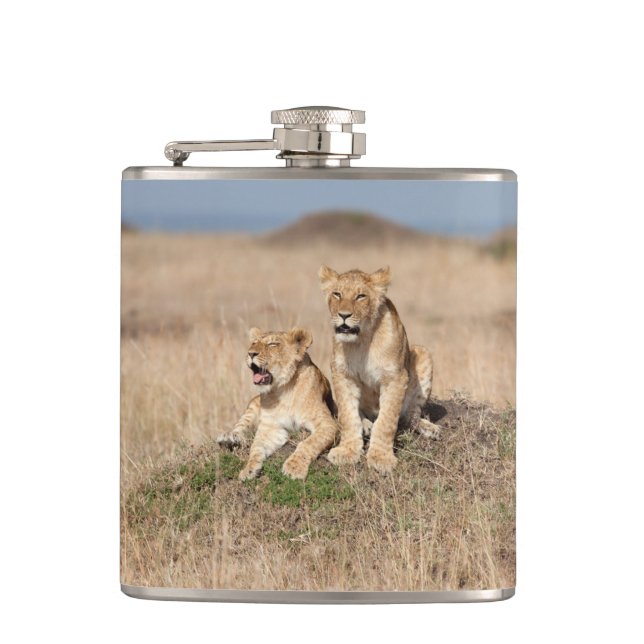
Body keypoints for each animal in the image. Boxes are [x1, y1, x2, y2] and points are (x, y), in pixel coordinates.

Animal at [217, 327, 338, 481]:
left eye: (272, 344)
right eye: (254, 343)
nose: (251, 353)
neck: (283, 389)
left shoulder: (327, 424)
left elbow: (308, 443)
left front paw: (294, 468)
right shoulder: (271, 428)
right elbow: (256, 447)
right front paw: (249, 469)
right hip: (253, 404)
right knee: (241, 427)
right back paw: (229, 439)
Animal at [318, 265, 439, 474]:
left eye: (361, 296)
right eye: (337, 294)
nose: (344, 315)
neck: (361, 340)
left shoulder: (395, 378)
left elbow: (386, 421)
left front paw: (381, 457)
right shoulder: (343, 375)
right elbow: (348, 416)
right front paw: (347, 451)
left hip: (422, 353)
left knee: (410, 415)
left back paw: (429, 428)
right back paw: (366, 424)